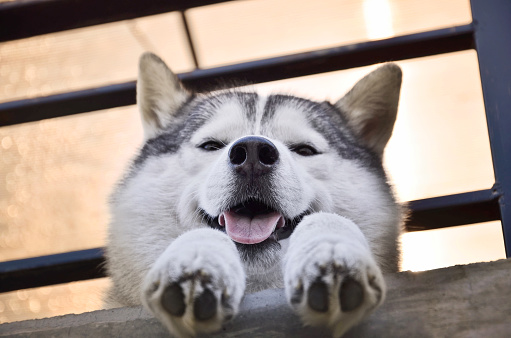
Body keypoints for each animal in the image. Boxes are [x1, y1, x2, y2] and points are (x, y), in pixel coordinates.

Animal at [105, 51, 404, 336]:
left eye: (304, 149)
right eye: (211, 145)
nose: (252, 154)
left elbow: (328, 221)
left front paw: (331, 255)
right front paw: (197, 264)